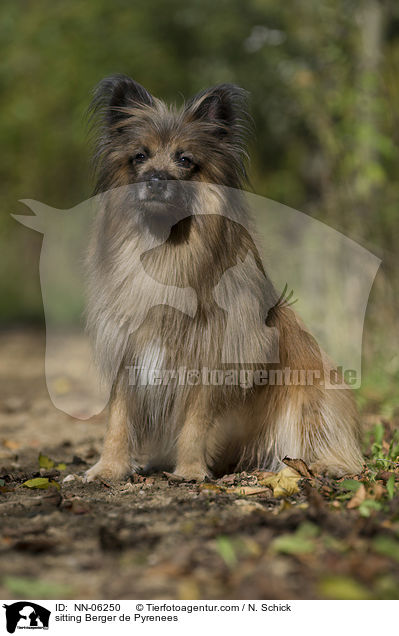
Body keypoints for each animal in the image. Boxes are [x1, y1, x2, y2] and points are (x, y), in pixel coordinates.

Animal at [85, 73, 366, 482]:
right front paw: (109, 468)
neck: (166, 248)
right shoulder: (128, 350)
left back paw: (326, 464)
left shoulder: (213, 359)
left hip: (312, 394)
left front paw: (189, 470)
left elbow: (195, 423)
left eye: (184, 159)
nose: (155, 179)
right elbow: (118, 419)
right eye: (139, 156)